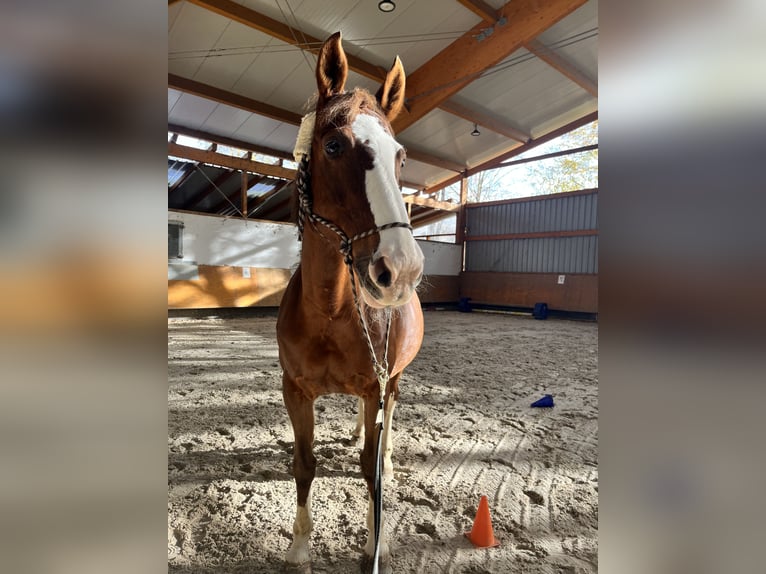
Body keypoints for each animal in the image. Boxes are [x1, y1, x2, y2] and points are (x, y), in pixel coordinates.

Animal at [276, 32, 425, 573]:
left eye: (400, 156)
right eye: (334, 144)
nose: (400, 270)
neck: (331, 312)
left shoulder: (376, 385)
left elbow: (369, 470)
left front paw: (374, 542)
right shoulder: (295, 390)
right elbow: (304, 463)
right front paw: (299, 546)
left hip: (393, 380)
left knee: (387, 423)